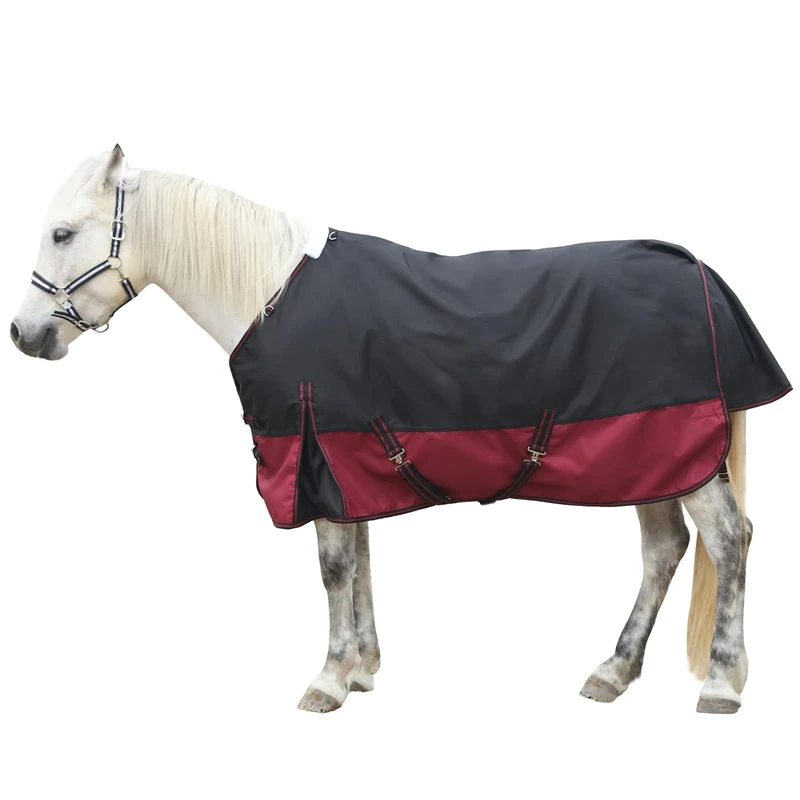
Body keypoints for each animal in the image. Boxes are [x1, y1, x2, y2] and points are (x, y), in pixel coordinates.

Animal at [10, 146, 787, 715]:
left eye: (62, 233)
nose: (23, 334)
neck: (270, 297)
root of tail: (699, 274)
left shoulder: (315, 456)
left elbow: (334, 568)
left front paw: (327, 680)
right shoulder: (342, 460)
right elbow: (358, 562)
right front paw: (361, 670)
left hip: (681, 457)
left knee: (728, 541)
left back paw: (721, 684)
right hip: (653, 460)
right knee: (665, 551)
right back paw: (614, 671)